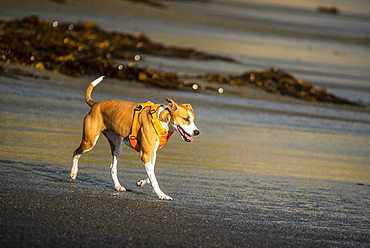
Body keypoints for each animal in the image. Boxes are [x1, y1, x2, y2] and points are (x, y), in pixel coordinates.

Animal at [71, 76, 201, 201]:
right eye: (185, 119)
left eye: (194, 120)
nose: (197, 132)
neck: (160, 119)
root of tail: (96, 104)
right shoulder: (145, 154)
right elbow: (154, 178)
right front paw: (161, 194)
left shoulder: (151, 154)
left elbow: (151, 174)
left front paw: (141, 182)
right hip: (89, 141)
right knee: (76, 152)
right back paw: (73, 173)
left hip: (117, 146)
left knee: (112, 168)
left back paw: (118, 186)